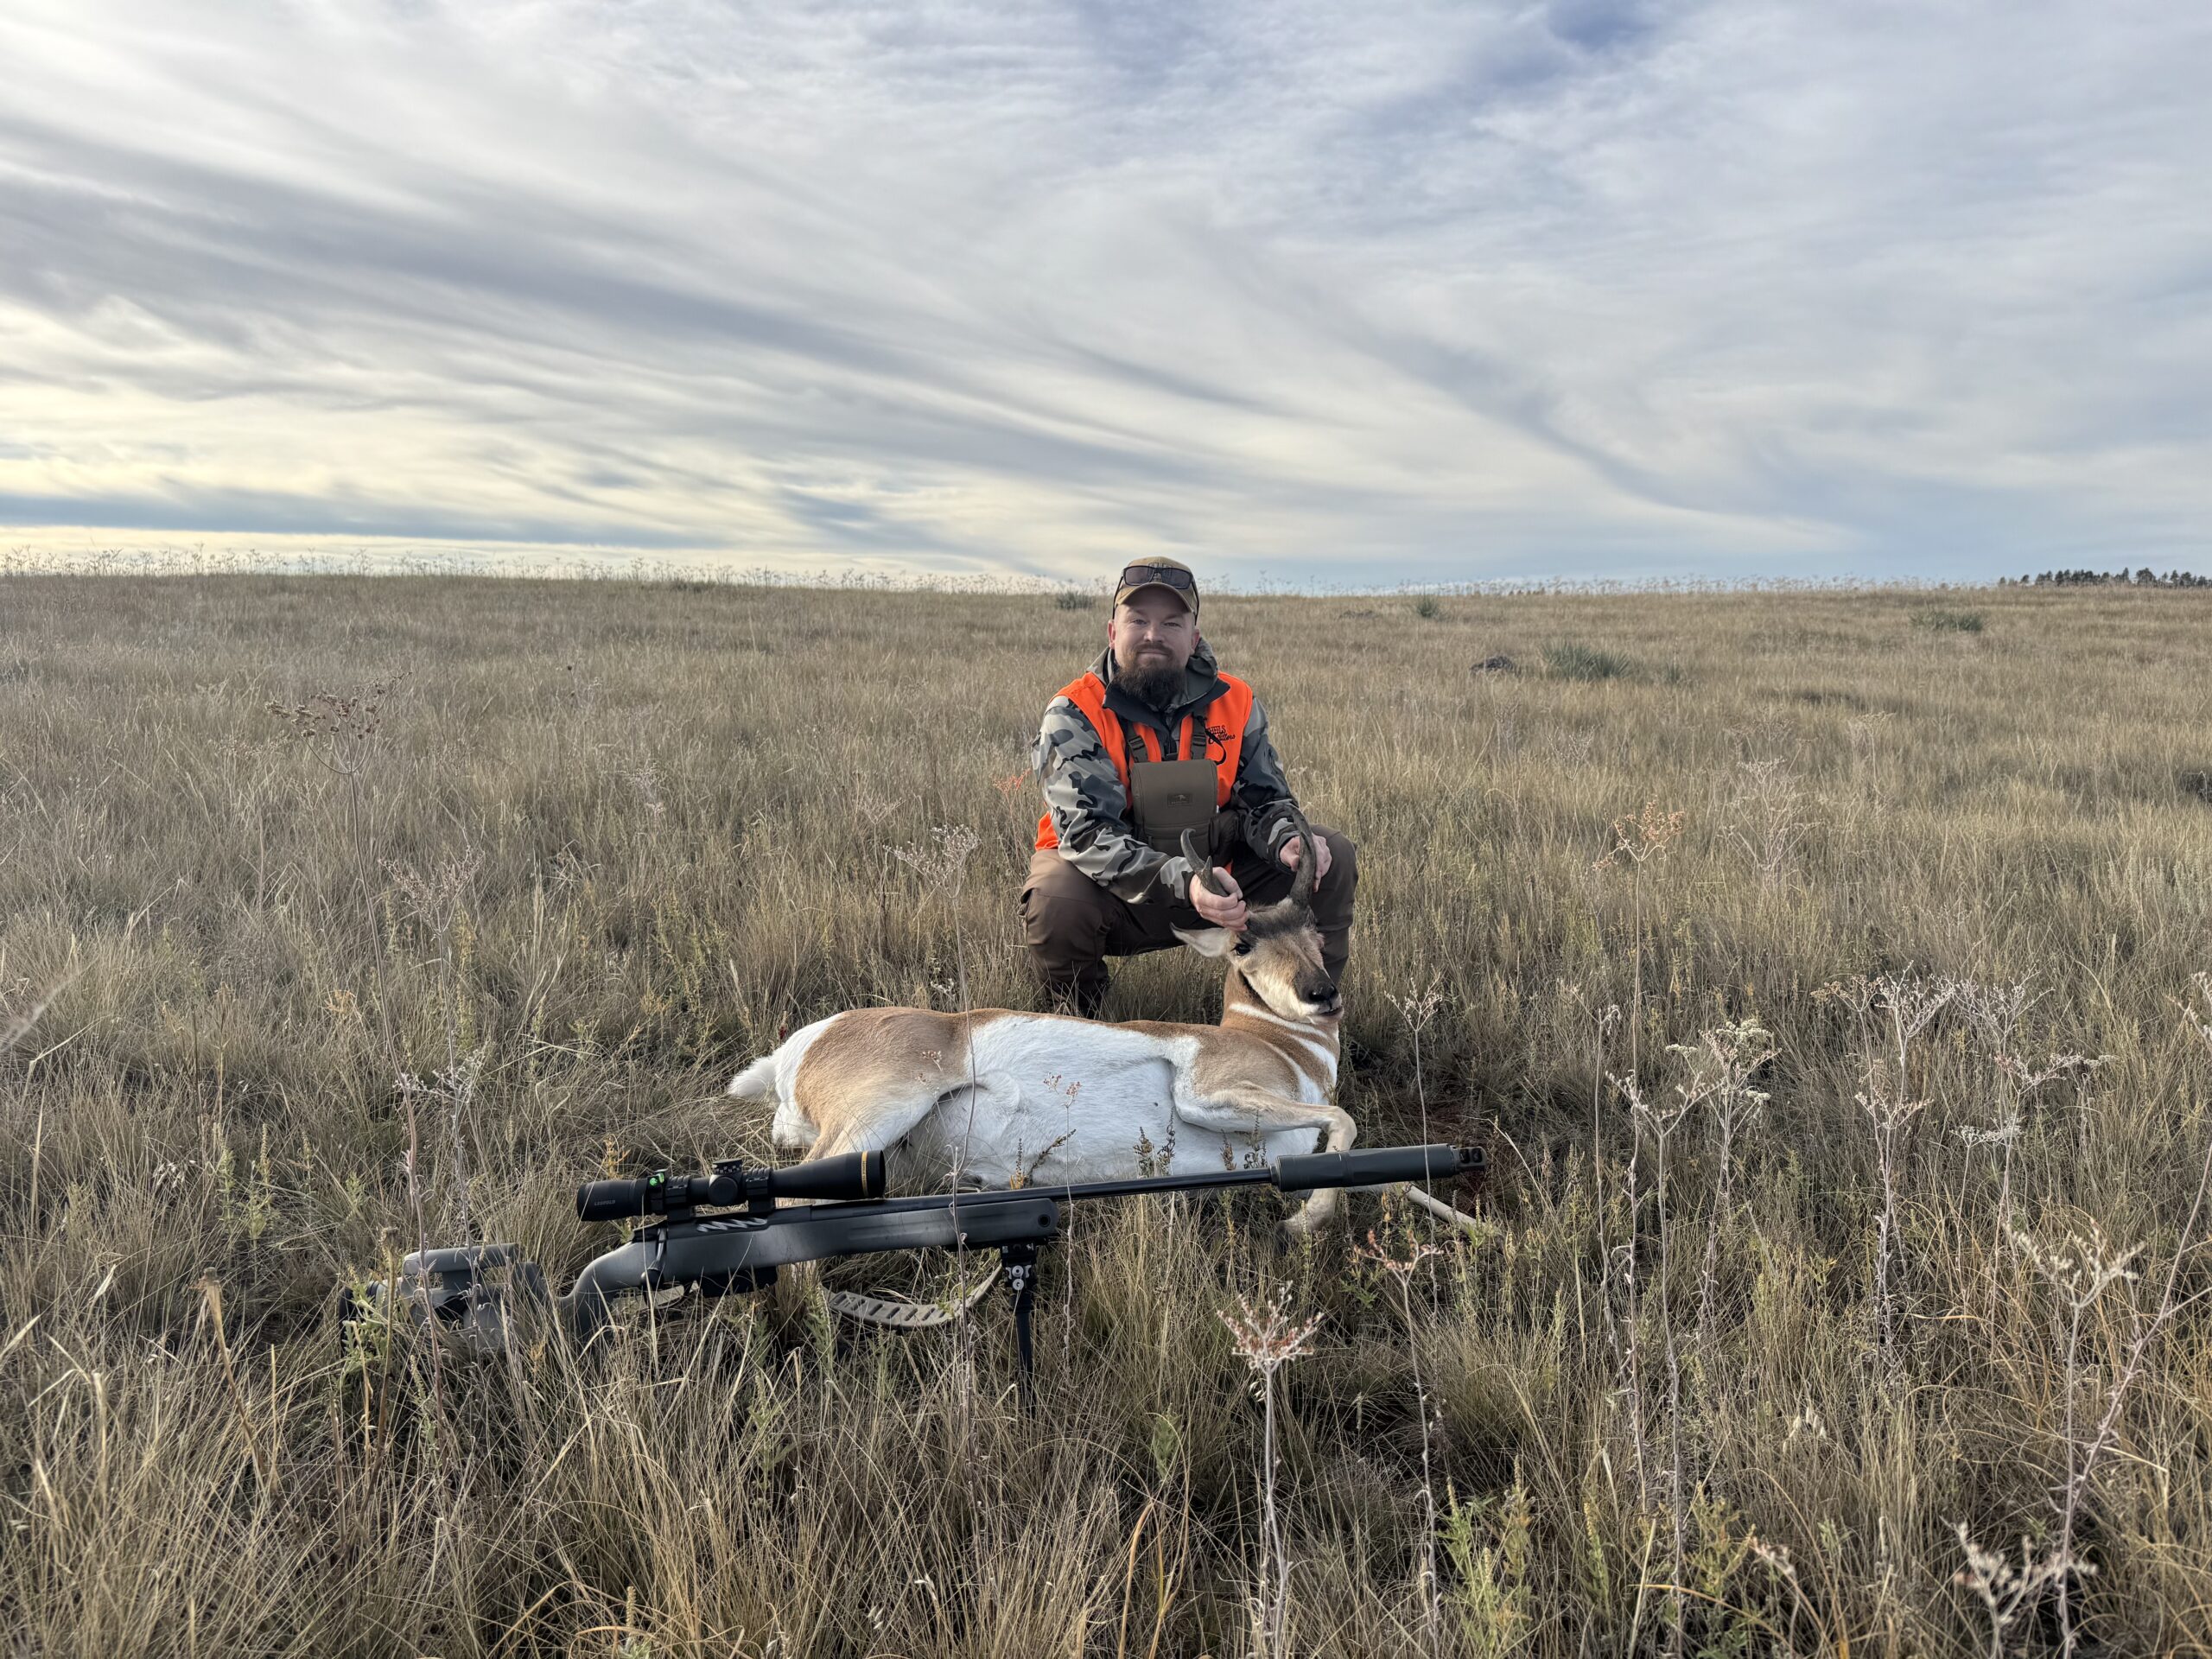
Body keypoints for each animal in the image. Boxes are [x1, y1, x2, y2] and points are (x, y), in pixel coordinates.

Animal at [728, 814, 1364, 1234]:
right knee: (792, 1206)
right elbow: (1343, 1120)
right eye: (1241, 945)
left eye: (1311, 925)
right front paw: (1302, 1221)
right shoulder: (1206, 1093)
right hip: (877, 1115)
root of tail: (807, 1043)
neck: (1276, 1043)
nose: (1321, 995)